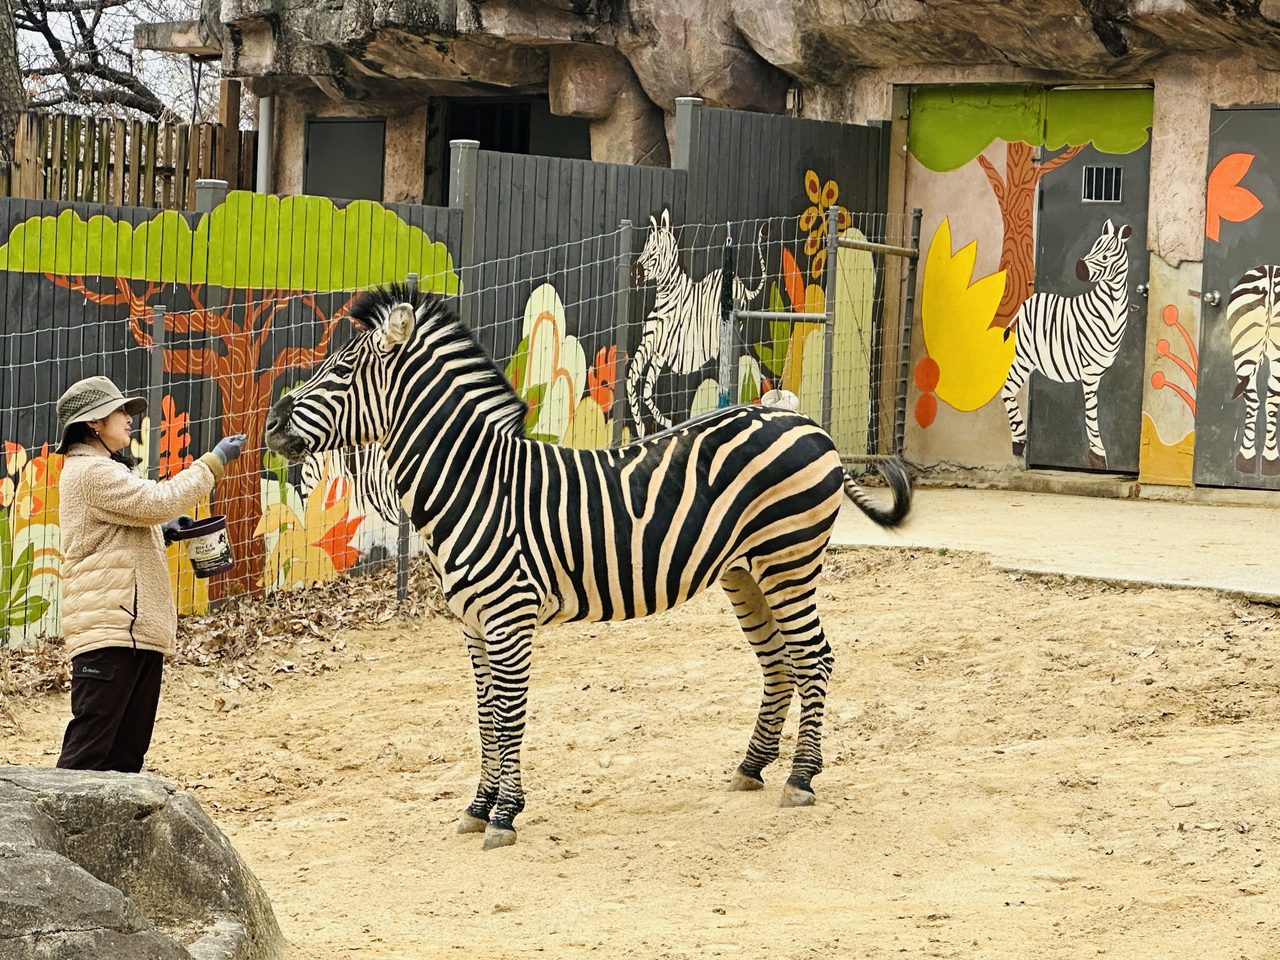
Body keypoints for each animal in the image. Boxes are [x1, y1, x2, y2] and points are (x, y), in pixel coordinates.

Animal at [265, 283, 912, 851]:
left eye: (342, 369)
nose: (270, 424)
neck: (475, 483)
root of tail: (806, 422)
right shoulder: (472, 624)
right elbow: (485, 717)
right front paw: (478, 807)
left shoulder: (509, 617)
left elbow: (508, 715)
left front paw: (504, 815)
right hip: (744, 571)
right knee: (778, 661)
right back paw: (752, 767)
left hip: (789, 558)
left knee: (814, 658)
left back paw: (801, 778)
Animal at [627, 208, 766, 436]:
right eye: (646, 247)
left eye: (655, 250)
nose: (634, 273)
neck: (666, 297)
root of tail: (741, 285)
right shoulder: (651, 347)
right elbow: (635, 382)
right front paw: (645, 427)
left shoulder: (662, 348)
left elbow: (641, 386)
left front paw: (658, 425)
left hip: (724, 339)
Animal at [1000, 219, 1132, 470]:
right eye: (1092, 248)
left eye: (1104, 256)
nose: (1079, 268)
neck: (1111, 309)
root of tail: (1028, 300)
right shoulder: (1089, 371)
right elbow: (1091, 411)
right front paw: (1098, 454)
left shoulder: (1097, 371)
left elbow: (1092, 409)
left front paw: (1097, 453)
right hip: (1024, 357)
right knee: (1007, 390)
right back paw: (1019, 440)